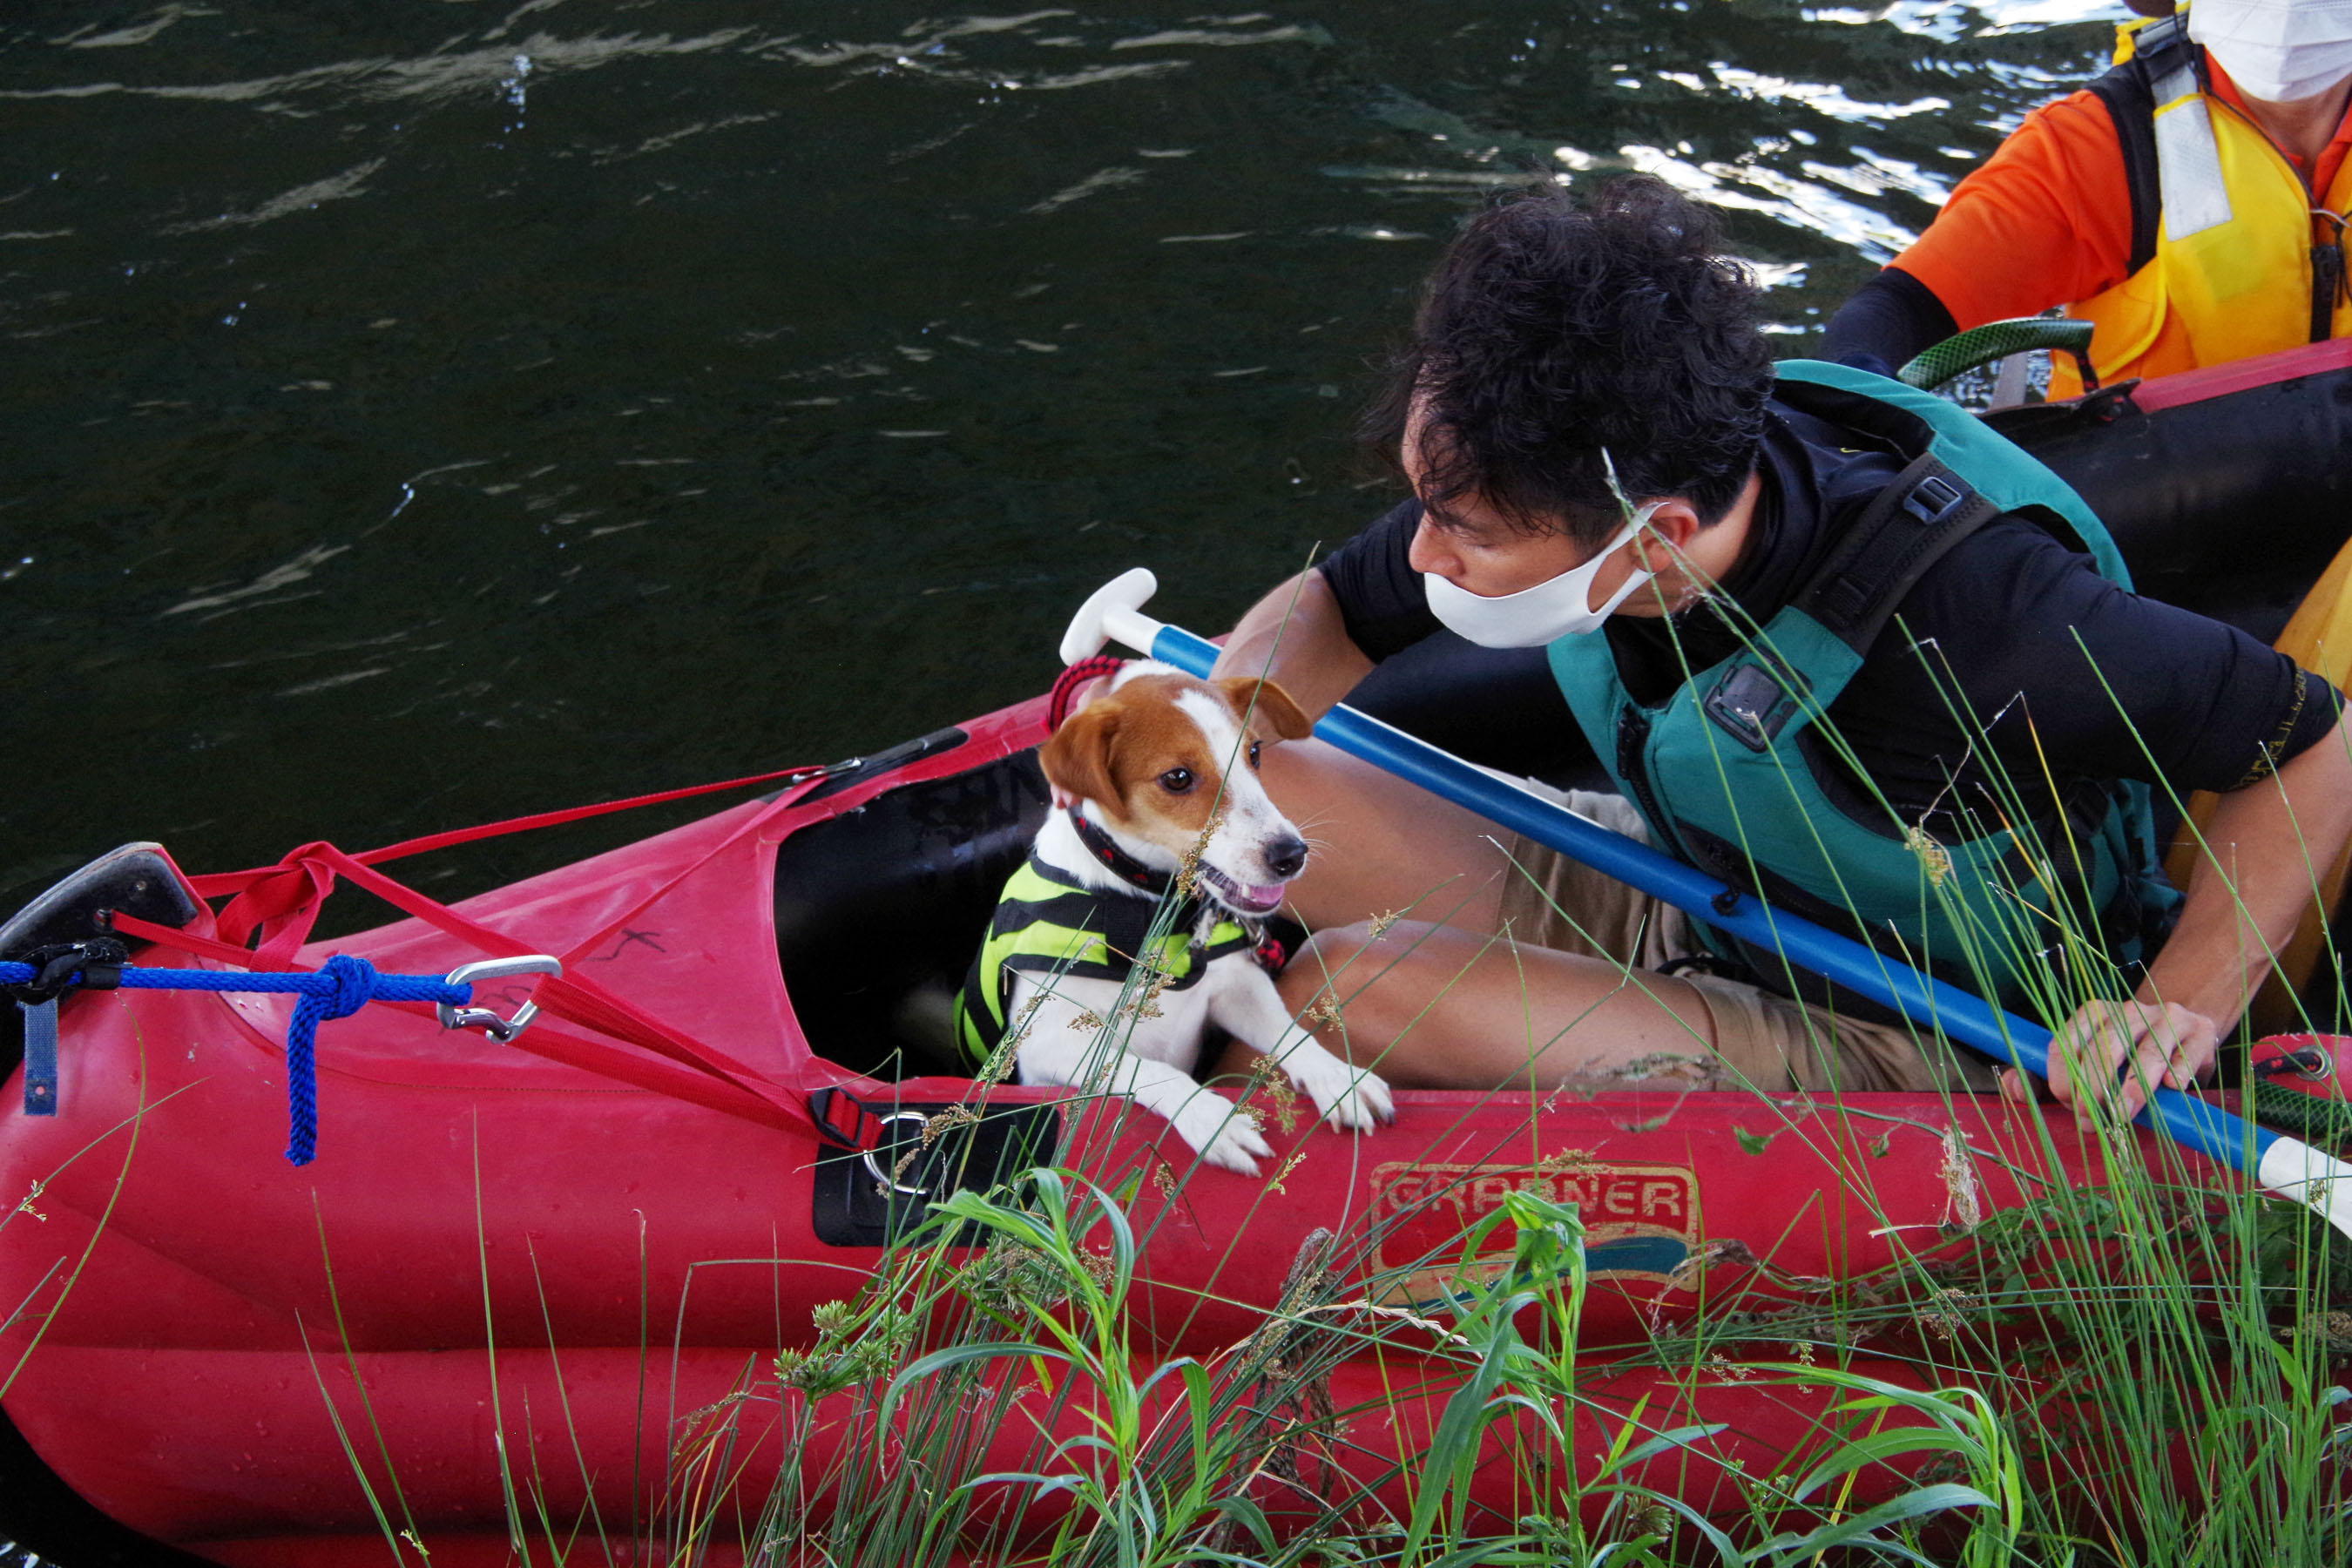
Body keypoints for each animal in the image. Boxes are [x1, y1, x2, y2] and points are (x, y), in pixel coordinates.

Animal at [955, 663, 1392, 1175]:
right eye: (1178, 778)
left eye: (1255, 753)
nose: (1292, 855)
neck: (1147, 906)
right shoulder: (1047, 1046)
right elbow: (1144, 1067)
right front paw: (1208, 1116)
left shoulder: (1236, 988)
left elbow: (1289, 1031)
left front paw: (1337, 1077)